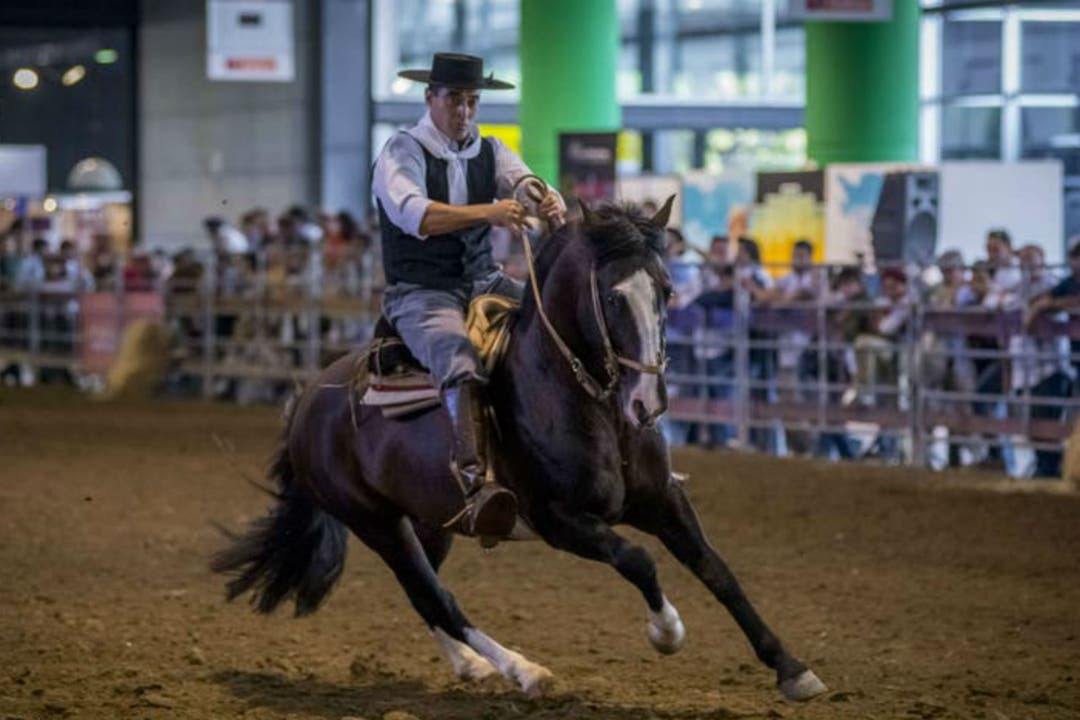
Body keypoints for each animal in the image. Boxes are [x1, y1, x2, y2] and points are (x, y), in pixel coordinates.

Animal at [214, 201, 829, 703]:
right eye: (612, 296)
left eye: (666, 290)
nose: (647, 402)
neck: (591, 404)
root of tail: (307, 401)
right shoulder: (560, 521)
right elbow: (638, 559)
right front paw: (667, 631)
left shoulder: (662, 501)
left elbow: (717, 570)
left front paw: (793, 669)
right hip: (376, 523)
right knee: (435, 597)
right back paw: (523, 671)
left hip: (430, 522)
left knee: (425, 594)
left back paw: (472, 666)